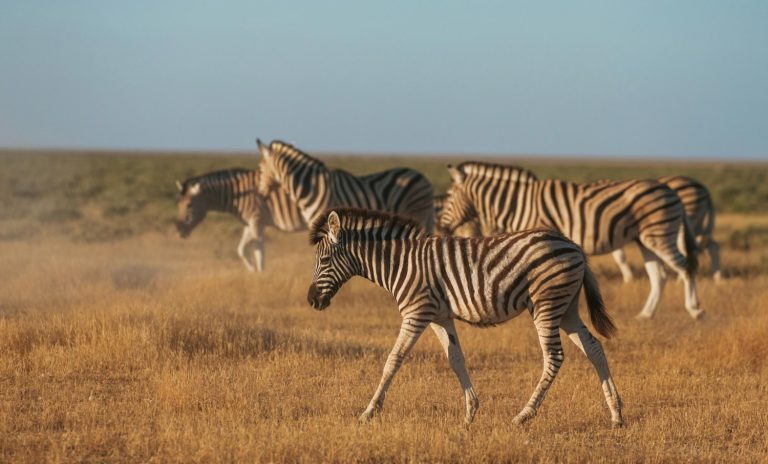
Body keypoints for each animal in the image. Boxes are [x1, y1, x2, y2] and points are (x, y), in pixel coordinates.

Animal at [175, 168, 305, 272]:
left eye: (189, 205)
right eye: (178, 204)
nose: (179, 230)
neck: (239, 195)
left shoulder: (256, 220)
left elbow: (259, 251)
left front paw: (261, 276)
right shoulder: (249, 224)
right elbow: (241, 250)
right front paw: (252, 271)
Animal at [307, 208, 624, 427]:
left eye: (324, 260)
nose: (311, 300)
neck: (401, 263)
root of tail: (573, 244)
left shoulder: (417, 312)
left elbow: (393, 360)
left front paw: (368, 412)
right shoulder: (439, 316)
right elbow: (455, 359)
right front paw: (470, 413)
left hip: (546, 303)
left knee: (554, 357)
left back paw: (523, 415)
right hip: (566, 307)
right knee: (594, 348)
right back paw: (616, 413)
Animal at [438, 161, 704, 320]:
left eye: (449, 196)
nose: (440, 227)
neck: (518, 203)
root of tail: (670, 190)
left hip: (659, 234)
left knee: (685, 266)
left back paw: (695, 309)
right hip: (645, 239)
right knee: (659, 275)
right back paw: (646, 315)